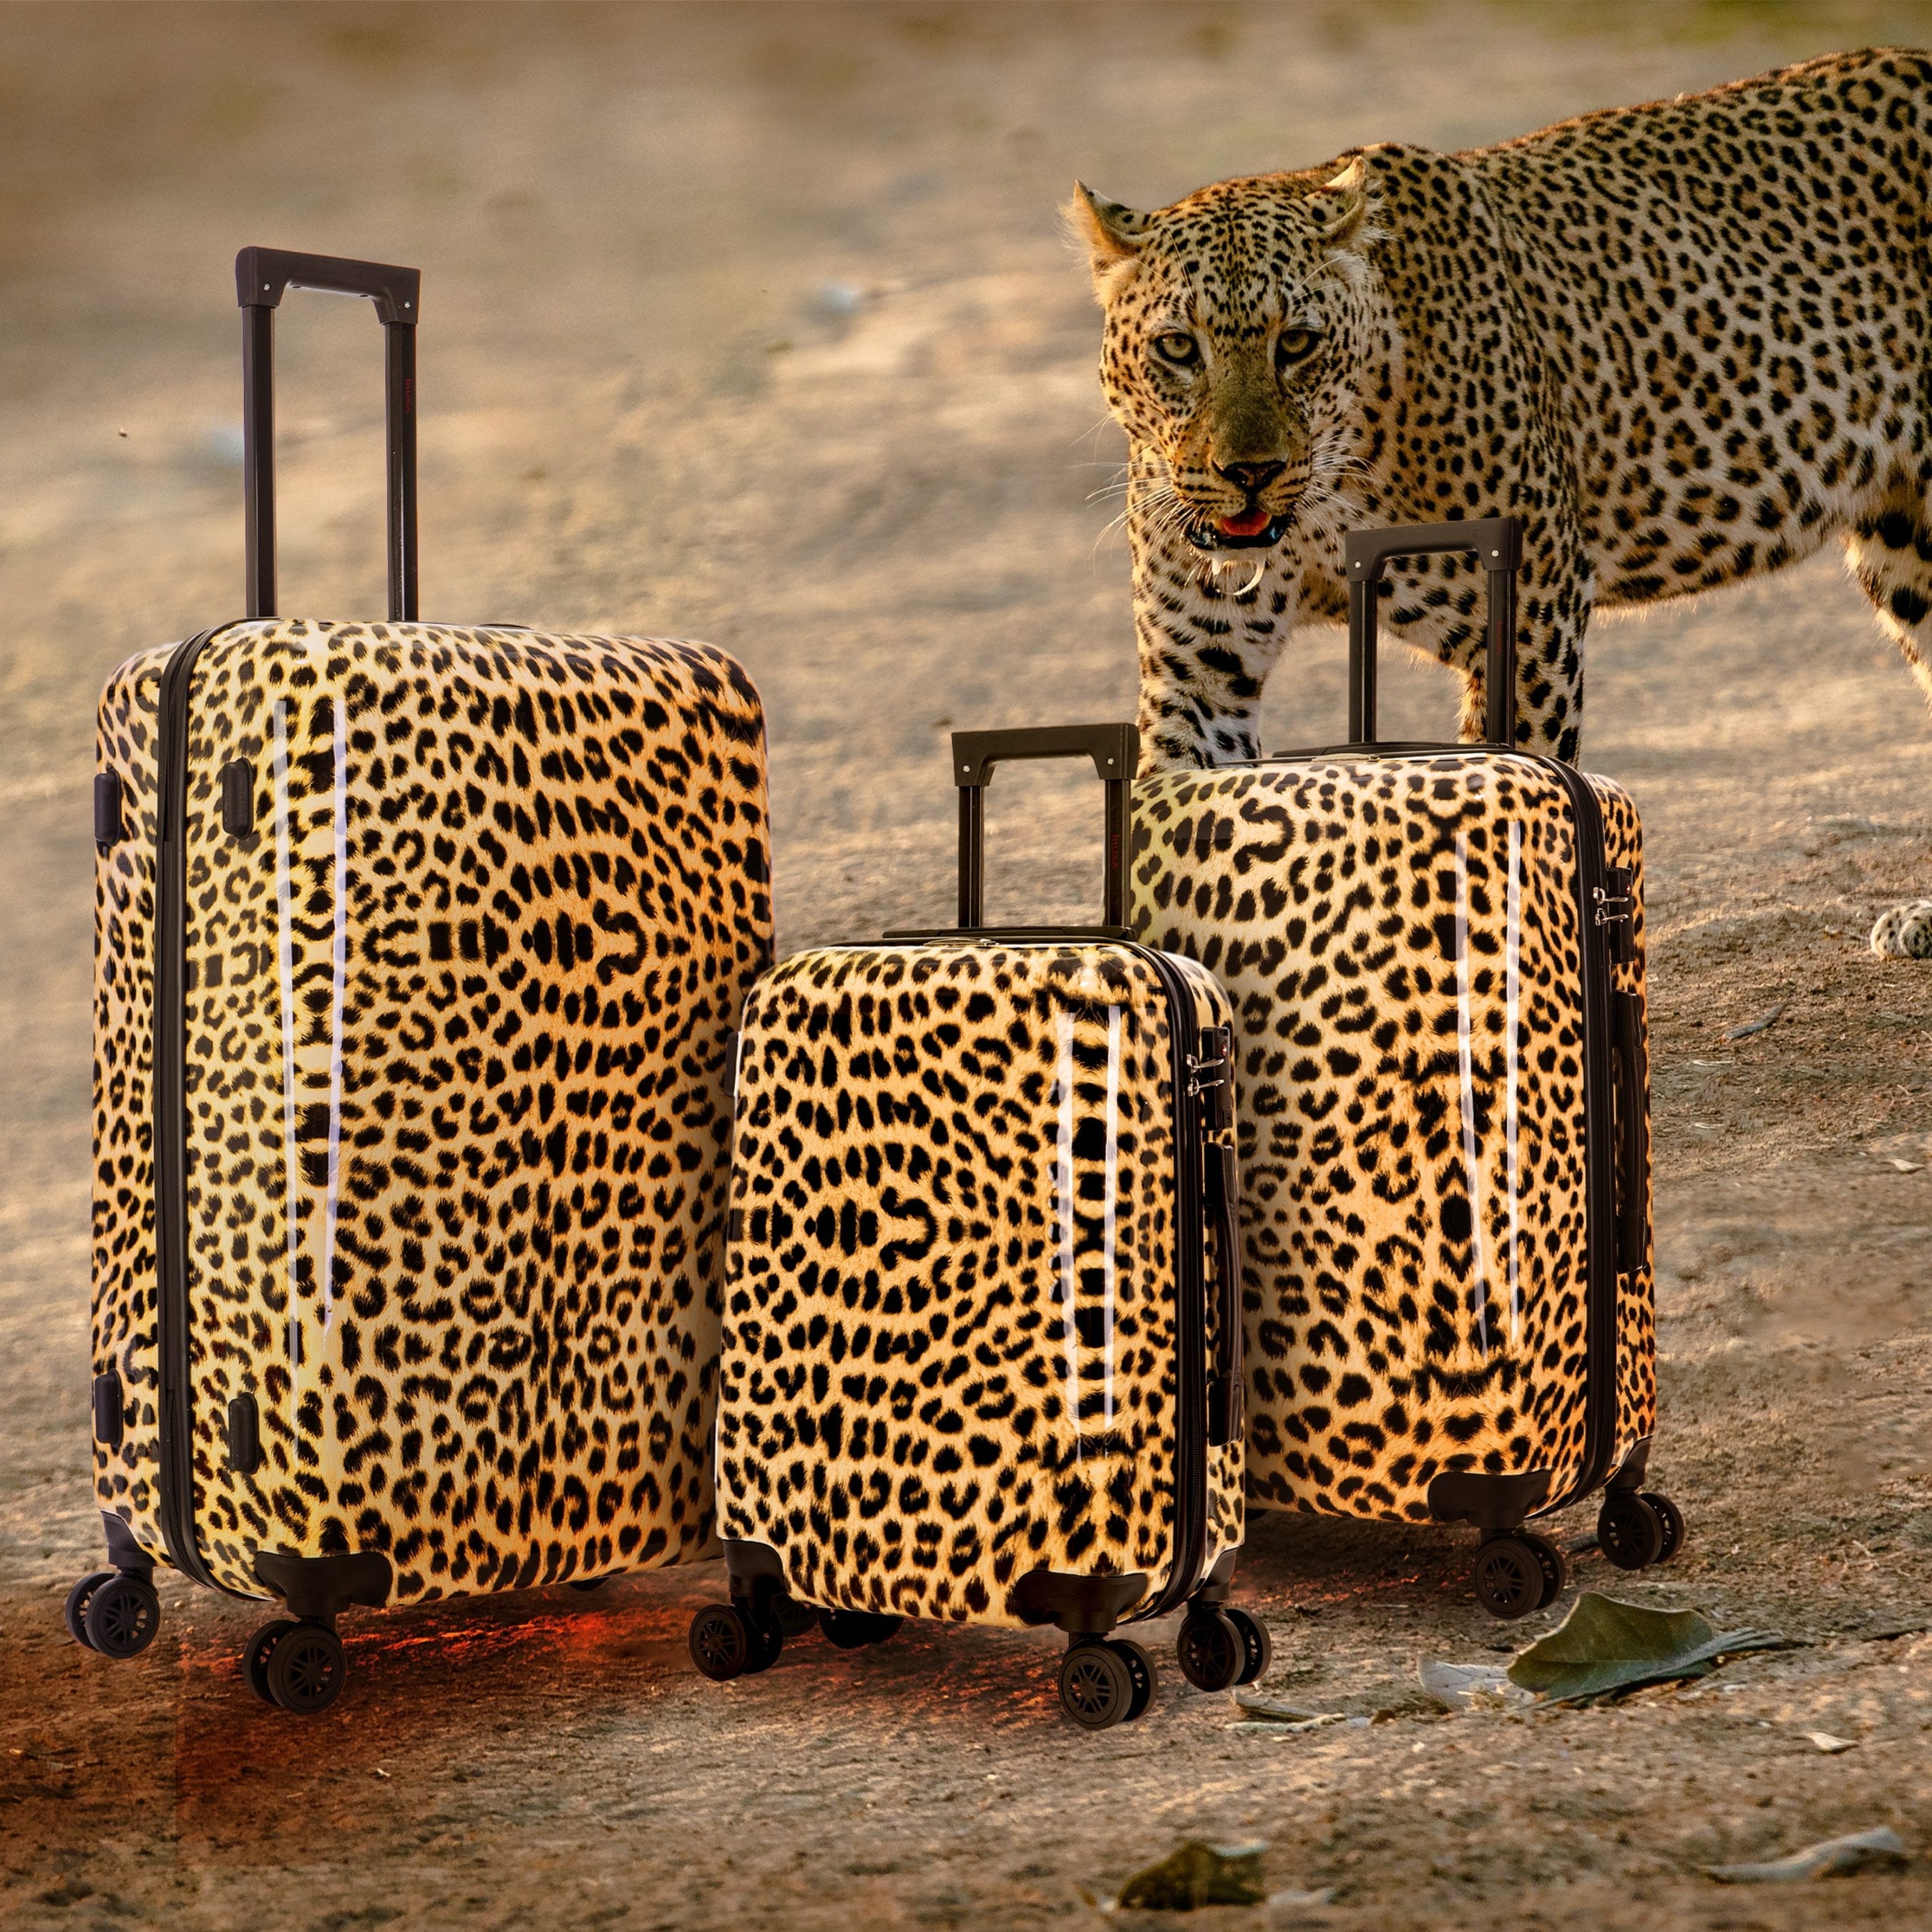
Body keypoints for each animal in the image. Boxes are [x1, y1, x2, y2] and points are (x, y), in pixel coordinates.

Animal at [1070, 47, 1932, 958]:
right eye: (1177, 348)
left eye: (1296, 343)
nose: (1250, 472)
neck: (1324, 511)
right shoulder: (1200, 670)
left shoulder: (1529, 622)